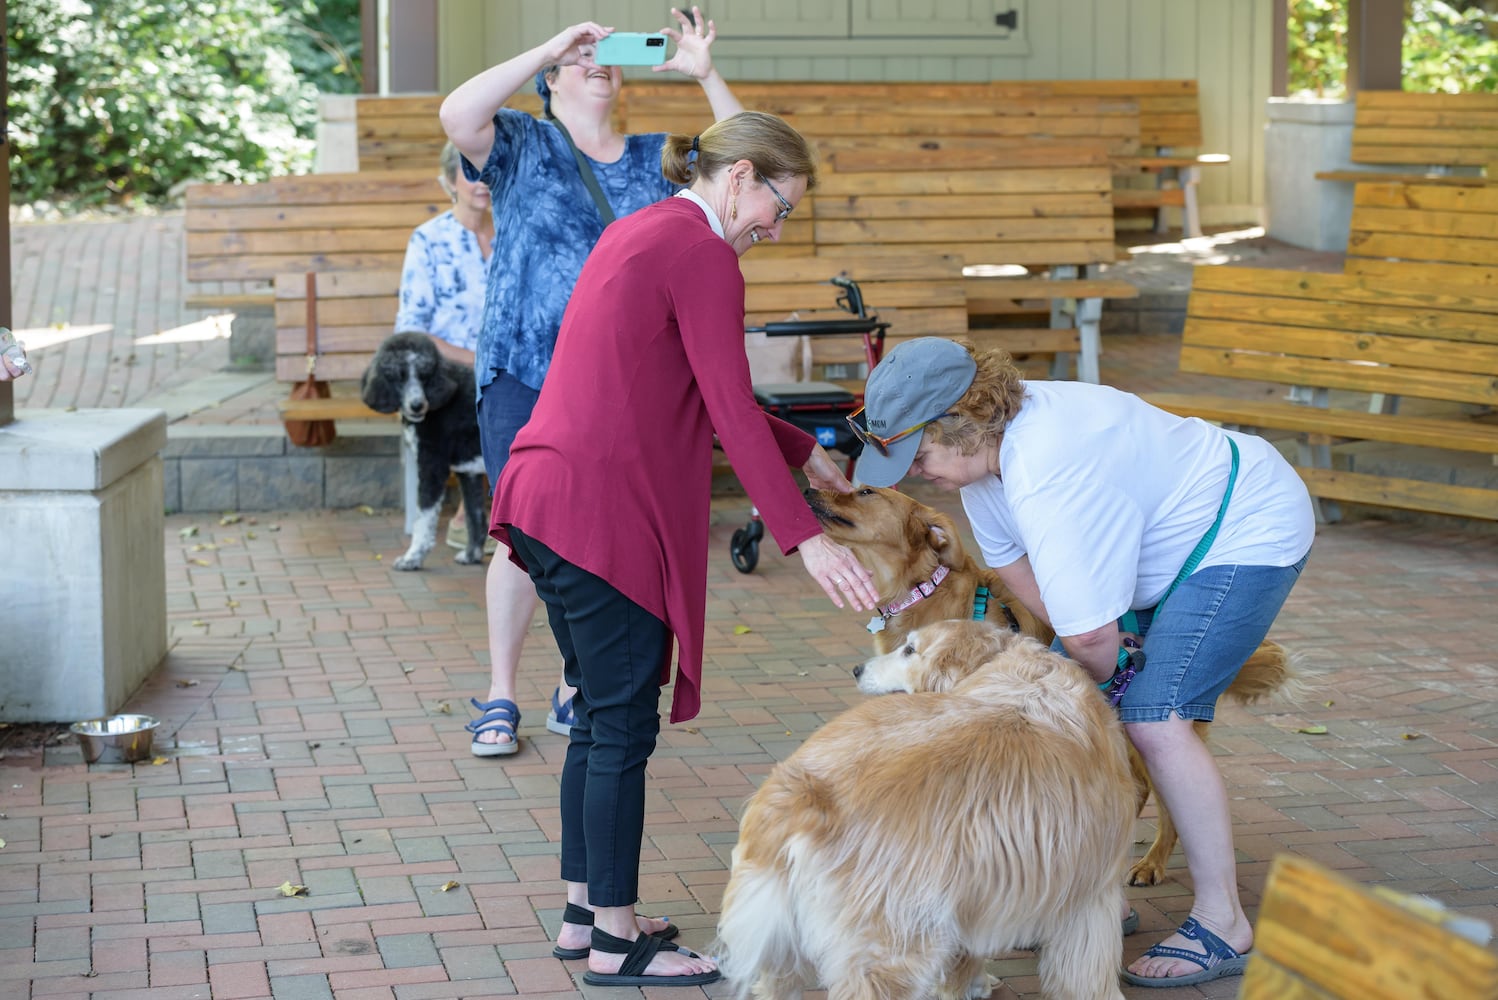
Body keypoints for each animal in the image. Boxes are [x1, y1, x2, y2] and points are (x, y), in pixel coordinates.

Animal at [716, 619, 1132, 994]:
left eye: (910, 650)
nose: (857, 669)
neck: (1012, 663)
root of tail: (803, 795)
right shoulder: (1090, 896)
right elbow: (1087, 977)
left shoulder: (979, 888)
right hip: (895, 949)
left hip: (784, 946)